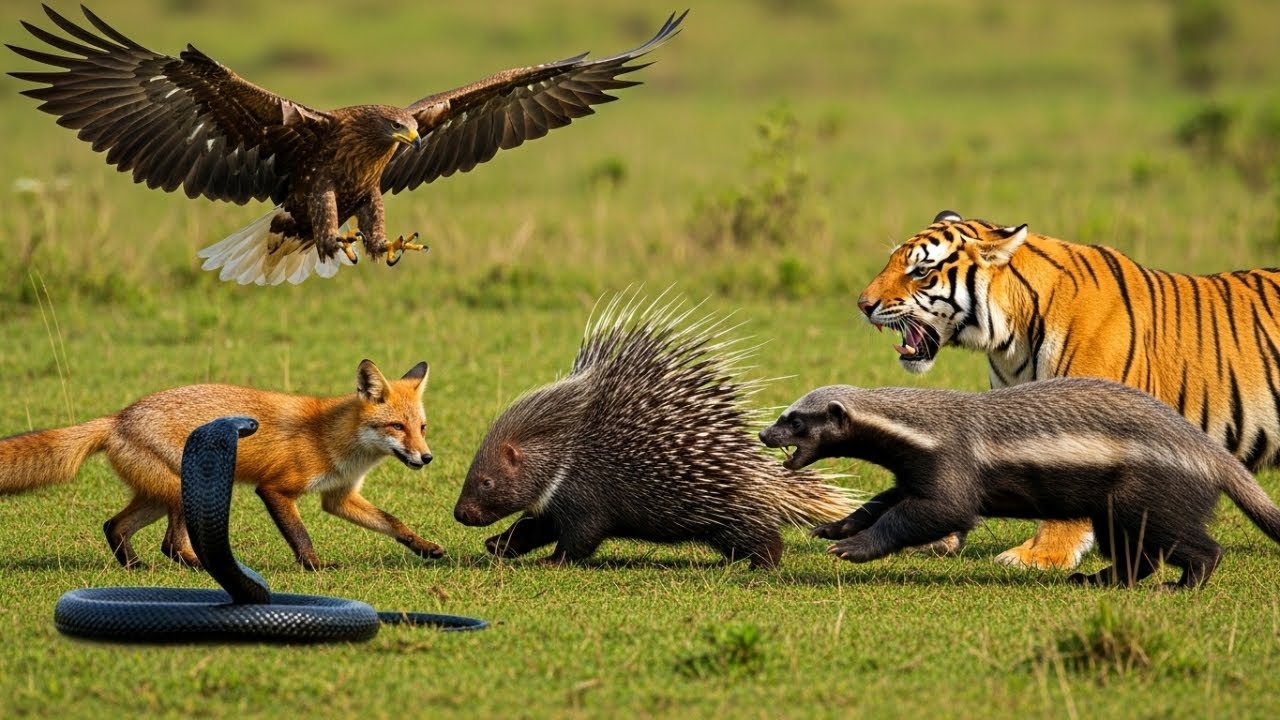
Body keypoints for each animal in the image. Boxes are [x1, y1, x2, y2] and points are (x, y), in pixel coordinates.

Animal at [0, 359, 444, 570]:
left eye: (421, 427)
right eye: (396, 426)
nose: (426, 457)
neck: (335, 437)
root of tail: (118, 417)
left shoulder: (339, 498)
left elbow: (393, 523)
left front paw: (425, 547)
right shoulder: (276, 489)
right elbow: (300, 535)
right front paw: (316, 567)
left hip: (157, 496)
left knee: (115, 526)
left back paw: (136, 568)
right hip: (181, 490)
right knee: (172, 545)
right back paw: (203, 569)